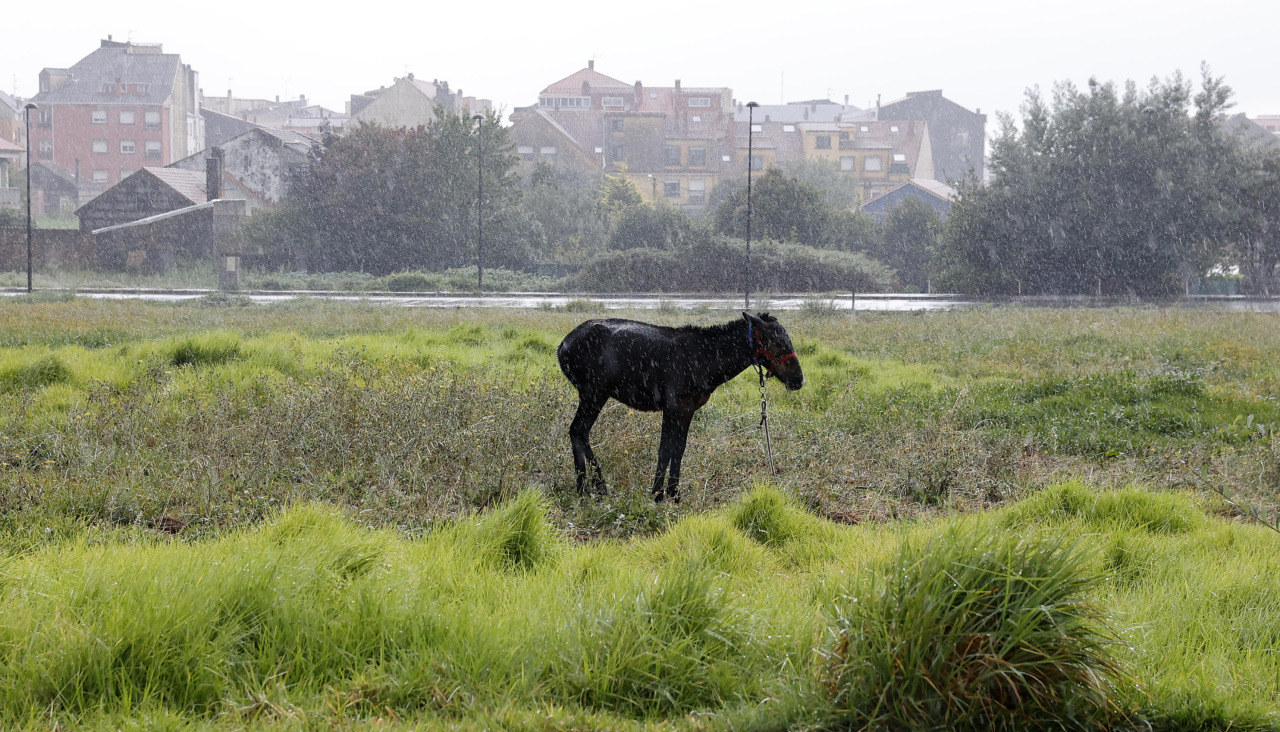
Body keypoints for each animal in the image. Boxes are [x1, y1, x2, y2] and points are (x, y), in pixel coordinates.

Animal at [556, 312, 804, 503]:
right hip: (594, 393)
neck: (708, 360)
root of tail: (562, 346)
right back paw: (591, 486)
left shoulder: (686, 410)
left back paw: (590, 486)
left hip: (594, 395)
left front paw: (673, 493)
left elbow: (678, 448)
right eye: (778, 343)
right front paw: (658, 493)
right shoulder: (675, 406)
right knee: (578, 430)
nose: (799, 380)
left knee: (580, 433)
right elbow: (665, 449)